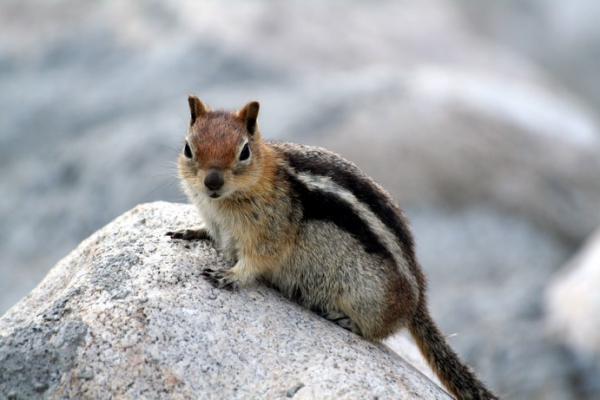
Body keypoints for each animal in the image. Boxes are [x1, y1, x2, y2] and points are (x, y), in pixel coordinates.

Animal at [168, 95, 496, 398]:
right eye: (188, 149)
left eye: (244, 151)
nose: (212, 181)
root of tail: (418, 301)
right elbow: (208, 232)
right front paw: (191, 231)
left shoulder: (269, 235)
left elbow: (255, 262)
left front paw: (230, 276)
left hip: (365, 295)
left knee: (378, 331)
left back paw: (345, 320)